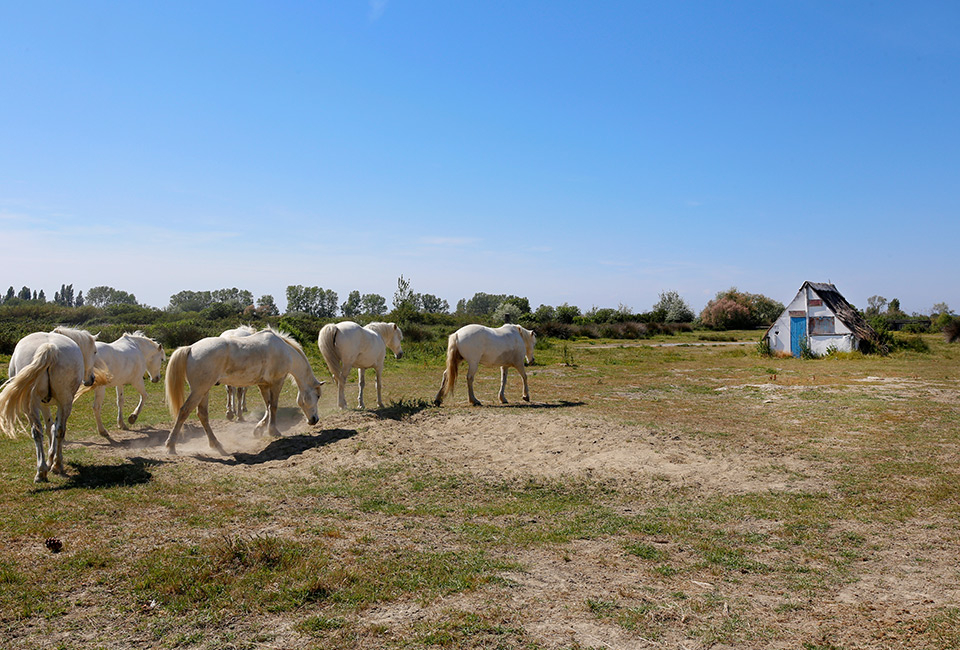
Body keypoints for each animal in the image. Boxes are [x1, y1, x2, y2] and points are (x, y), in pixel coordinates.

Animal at [0, 326, 101, 478]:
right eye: (94, 351)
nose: (91, 379)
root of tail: (49, 347)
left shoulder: (44, 405)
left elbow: (49, 428)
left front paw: (49, 459)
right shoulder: (48, 405)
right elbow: (52, 428)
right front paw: (52, 458)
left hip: (33, 404)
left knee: (38, 432)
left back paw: (41, 470)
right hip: (64, 402)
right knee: (58, 430)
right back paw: (56, 465)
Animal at [165, 326, 326, 454]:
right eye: (317, 396)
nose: (314, 420)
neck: (284, 351)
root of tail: (190, 348)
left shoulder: (264, 385)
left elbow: (268, 406)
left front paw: (259, 429)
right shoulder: (277, 382)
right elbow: (273, 406)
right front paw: (273, 431)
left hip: (203, 391)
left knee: (202, 415)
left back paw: (216, 445)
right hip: (199, 391)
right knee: (184, 411)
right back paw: (171, 446)